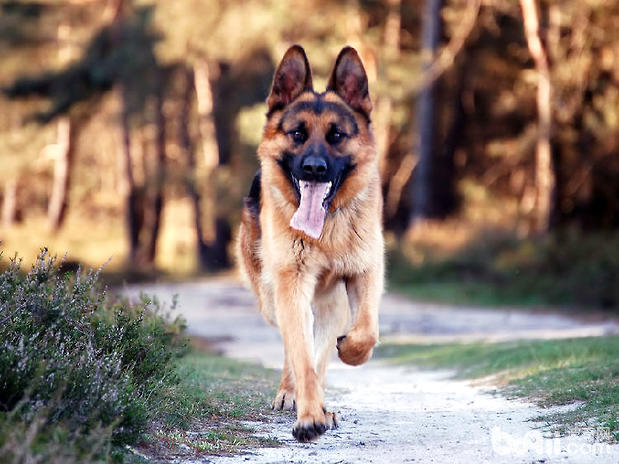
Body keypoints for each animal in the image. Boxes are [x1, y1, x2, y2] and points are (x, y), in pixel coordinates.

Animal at [237, 46, 382, 442]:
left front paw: (351, 351)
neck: (327, 232)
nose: (314, 168)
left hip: (331, 307)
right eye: (298, 134)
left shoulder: (367, 273)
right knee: (294, 349)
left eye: (337, 135)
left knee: (321, 348)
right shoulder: (292, 287)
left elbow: (366, 332)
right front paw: (308, 416)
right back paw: (294, 395)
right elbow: (301, 356)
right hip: (273, 299)